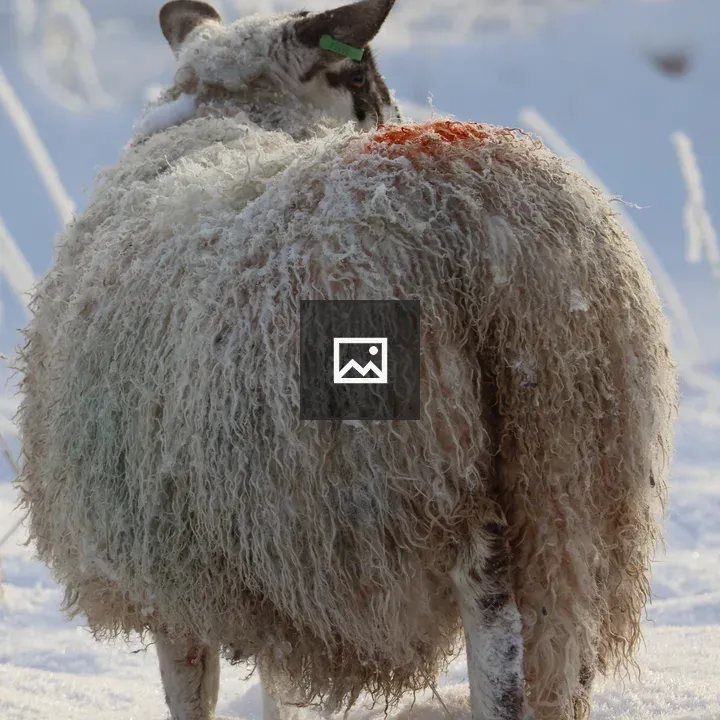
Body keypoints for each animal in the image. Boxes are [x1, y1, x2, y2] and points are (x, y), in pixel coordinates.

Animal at [14, 1, 677, 719]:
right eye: (358, 80)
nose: (389, 115)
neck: (226, 119)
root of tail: (480, 219)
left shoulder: (171, 578)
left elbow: (195, 696)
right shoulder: (264, 569)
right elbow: (276, 690)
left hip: (433, 476)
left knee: (497, 641)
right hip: (571, 484)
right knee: (561, 652)